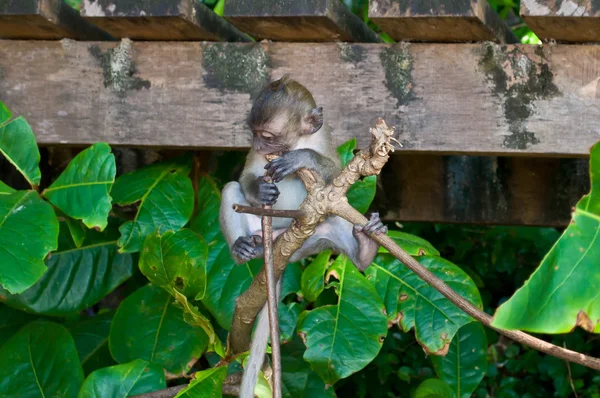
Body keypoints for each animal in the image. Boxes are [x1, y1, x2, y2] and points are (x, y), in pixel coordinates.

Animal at [218, 75, 386, 398]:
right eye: (253, 134)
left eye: (268, 136)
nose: (257, 143)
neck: (296, 140)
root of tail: (279, 248)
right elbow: (245, 178)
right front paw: (259, 189)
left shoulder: (325, 138)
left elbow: (334, 178)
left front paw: (302, 159)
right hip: (259, 230)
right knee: (231, 189)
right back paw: (241, 249)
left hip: (310, 238)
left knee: (334, 218)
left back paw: (365, 249)